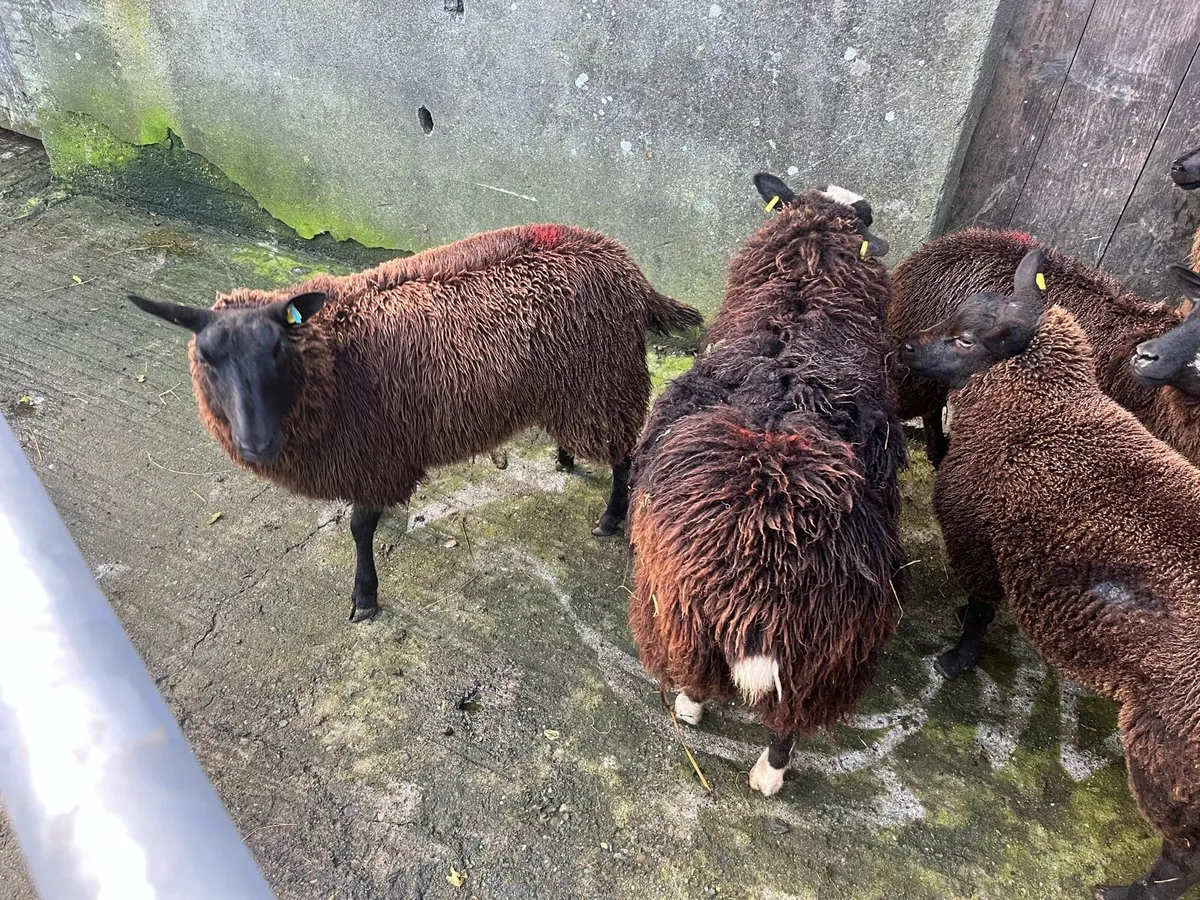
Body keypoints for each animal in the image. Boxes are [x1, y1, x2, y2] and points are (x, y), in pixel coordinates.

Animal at [129, 223, 703, 621]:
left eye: (277, 350)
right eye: (207, 358)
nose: (257, 444)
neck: (333, 357)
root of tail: (625, 264)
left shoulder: (375, 451)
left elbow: (359, 527)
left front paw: (365, 594)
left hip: (605, 381)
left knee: (626, 453)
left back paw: (611, 516)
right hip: (574, 387)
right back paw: (564, 458)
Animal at [627, 173, 905, 796]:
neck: (804, 284)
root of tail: (764, 587)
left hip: (678, 610)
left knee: (711, 682)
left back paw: (708, 725)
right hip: (825, 653)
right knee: (791, 715)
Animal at [899, 248, 1200, 900]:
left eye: (966, 339)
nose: (906, 347)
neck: (1042, 403)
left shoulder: (974, 532)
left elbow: (981, 606)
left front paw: (957, 659)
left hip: (1168, 750)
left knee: (1183, 855)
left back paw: (1128, 892)